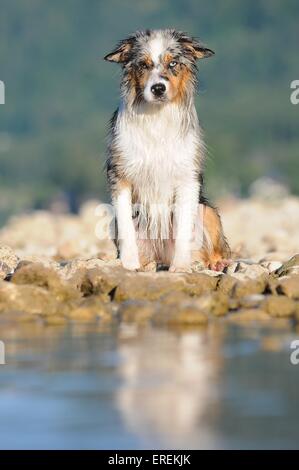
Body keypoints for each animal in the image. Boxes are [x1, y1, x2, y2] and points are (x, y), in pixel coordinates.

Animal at [104, 28, 231, 272]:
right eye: (143, 65)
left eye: (173, 63)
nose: (158, 88)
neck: (157, 116)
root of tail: (160, 255)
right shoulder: (120, 175)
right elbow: (125, 226)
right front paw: (128, 263)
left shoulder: (187, 177)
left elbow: (183, 229)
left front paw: (180, 266)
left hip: (207, 211)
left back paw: (216, 263)